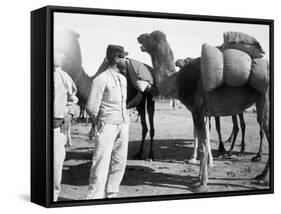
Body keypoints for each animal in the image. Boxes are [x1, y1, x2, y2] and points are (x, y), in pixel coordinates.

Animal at [138, 30, 270, 191]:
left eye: (149, 36)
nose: (139, 37)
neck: (177, 81)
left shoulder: (197, 111)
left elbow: (202, 146)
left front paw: (202, 184)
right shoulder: (201, 113)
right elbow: (203, 142)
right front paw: (198, 179)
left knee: (264, 128)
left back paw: (260, 172)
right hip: (260, 101)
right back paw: (260, 175)